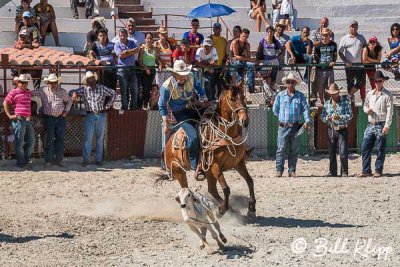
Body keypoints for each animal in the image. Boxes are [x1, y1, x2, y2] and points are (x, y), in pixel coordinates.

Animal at [156, 83, 256, 218]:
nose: (244, 120)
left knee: (212, 190)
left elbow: (250, 181)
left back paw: (230, 210)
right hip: (179, 172)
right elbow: (226, 188)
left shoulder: (238, 163)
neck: (226, 136)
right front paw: (222, 209)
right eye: (231, 99)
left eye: (243, 97)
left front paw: (251, 208)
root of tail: (167, 145)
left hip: (208, 173)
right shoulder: (215, 165)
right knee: (187, 190)